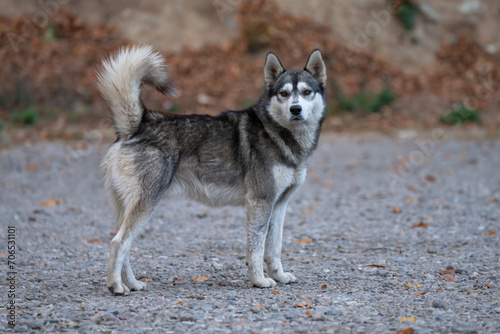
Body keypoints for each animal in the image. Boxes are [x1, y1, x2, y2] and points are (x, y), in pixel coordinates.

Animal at [96, 45, 328, 294]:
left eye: (306, 92)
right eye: (283, 94)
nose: (295, 109)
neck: (277, 133)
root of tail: (136, 126)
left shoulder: (279, 205)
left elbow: (274, 249)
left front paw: (280, 276)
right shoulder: (260, 202)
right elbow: (256, 250)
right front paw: (259, 280)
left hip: (130, 209)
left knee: (125, 247)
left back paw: (132, 284)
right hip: (146, 205)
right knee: (118, 243)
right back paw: (116, 286)